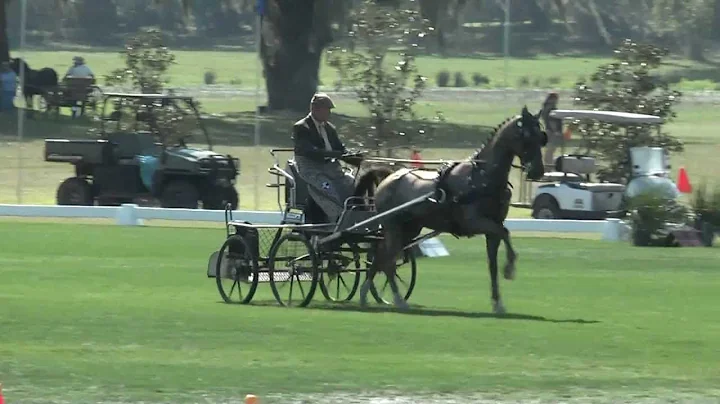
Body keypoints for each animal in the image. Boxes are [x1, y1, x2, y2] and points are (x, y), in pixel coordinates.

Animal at [352, 105, 548, 314]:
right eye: (526, 136)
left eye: (541, 137)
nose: (538, 171)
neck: (482, 177)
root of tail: (388, 178)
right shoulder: (476, 222)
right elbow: (505, 233)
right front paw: (510, 268)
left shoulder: (492, 229)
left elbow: (493, 263)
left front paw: (498, 302)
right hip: (393, 226)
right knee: (388, 260)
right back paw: (398, 299)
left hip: (410, 228)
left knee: (381, 256)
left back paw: (365, 294)